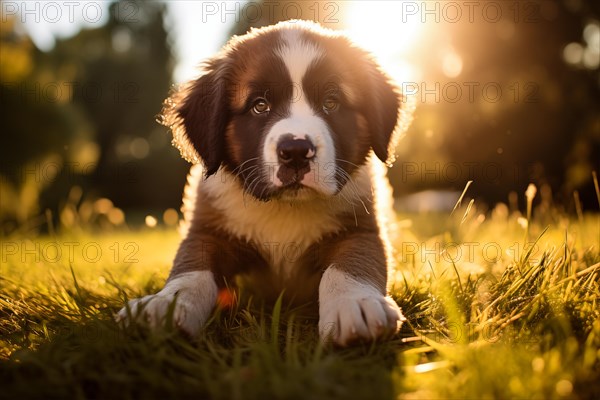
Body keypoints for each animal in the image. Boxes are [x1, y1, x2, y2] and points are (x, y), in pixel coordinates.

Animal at [118, 18, 410, 346]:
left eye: (331, 102)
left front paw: (355, 304)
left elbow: (349, 266)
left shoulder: (360, 229)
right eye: (260, 106)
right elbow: (191, 270)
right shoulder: (207, 231)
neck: (285, 209)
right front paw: (165, 304)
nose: (295, 151)